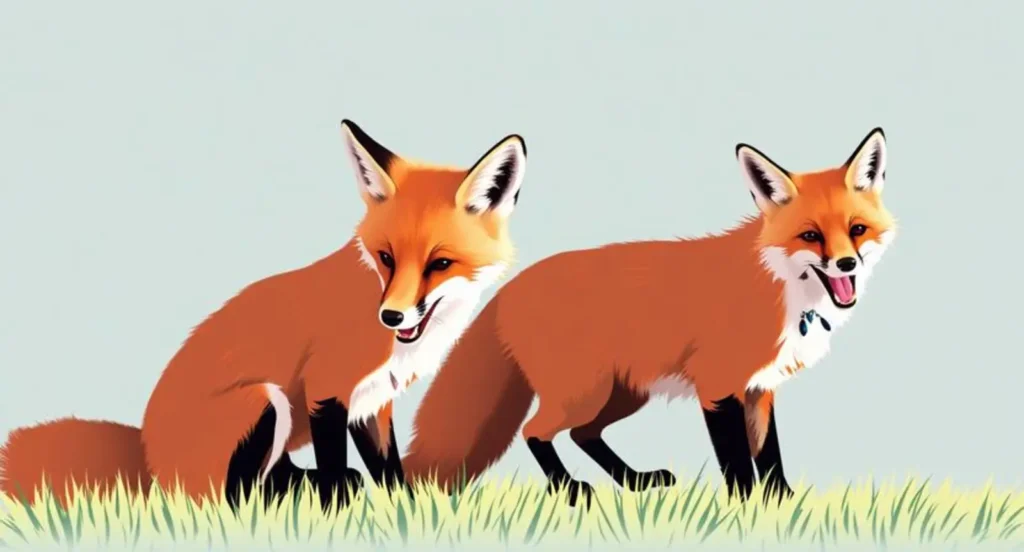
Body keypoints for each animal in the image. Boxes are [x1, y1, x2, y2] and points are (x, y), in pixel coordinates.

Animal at [0, 119, 529, 511]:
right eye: (386, 257)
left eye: (440, 264)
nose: (392, 317)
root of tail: (147, 457)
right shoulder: (327, 388)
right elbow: (333, 465)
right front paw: (338, 515)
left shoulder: (373, 402)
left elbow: (388, 469)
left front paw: (406, 511)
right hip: (267, 401)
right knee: (228, 498)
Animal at [402, 127, 895, 506]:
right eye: (810, 236)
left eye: (857, 230)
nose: (846, 264)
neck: (782, 289)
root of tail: (510, 287)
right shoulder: (720, 387)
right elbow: (738, 462)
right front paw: (744, 511)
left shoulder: (759, 389)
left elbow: (769, 455)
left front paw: (783, 504)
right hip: (586, 392)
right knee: (535, 431)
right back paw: (569, 490)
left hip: (620, 393)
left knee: (583, 434)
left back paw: (634, 481)